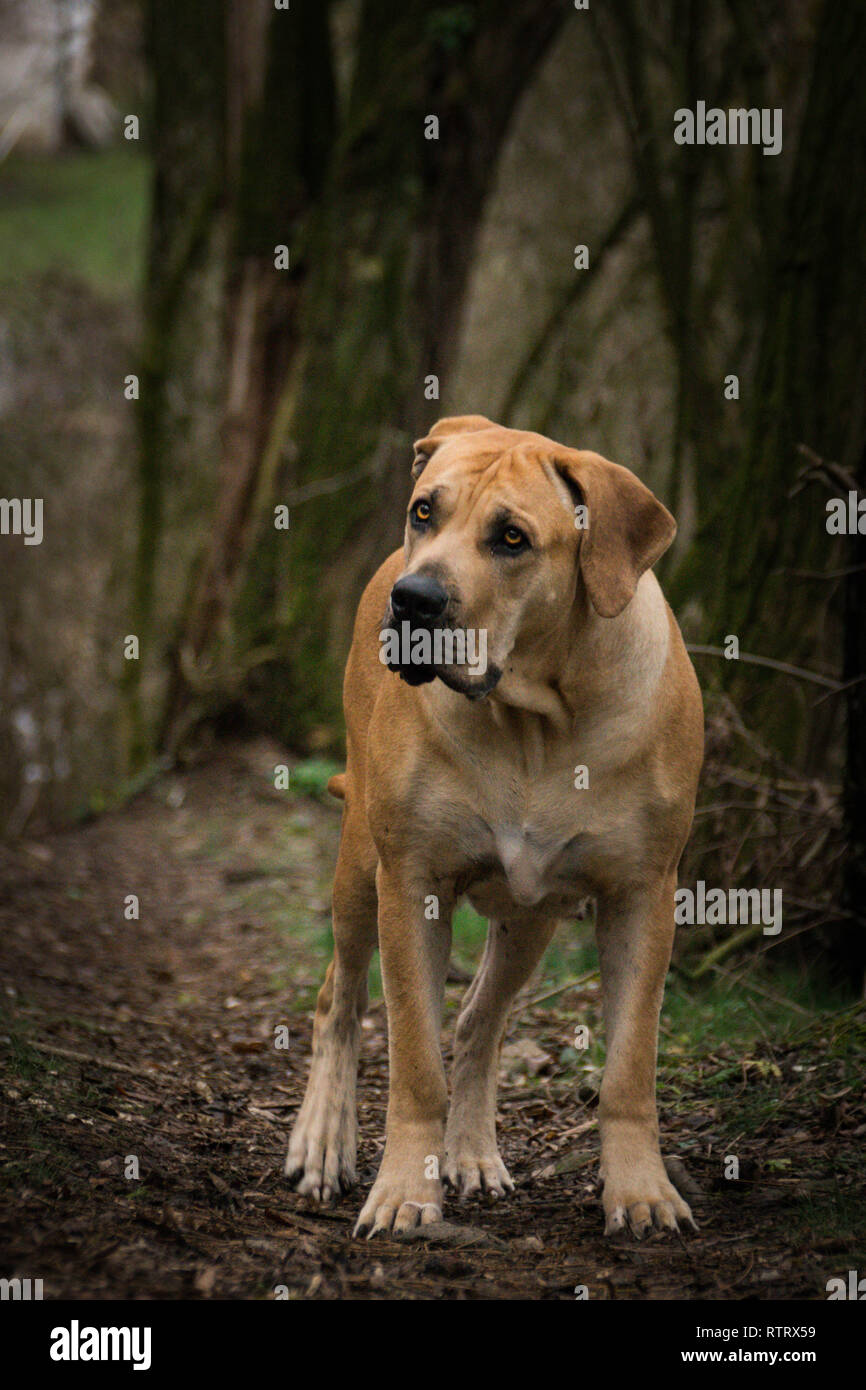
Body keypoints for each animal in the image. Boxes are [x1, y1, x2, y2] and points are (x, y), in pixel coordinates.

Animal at [287, 411, 708, 1239]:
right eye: (425, 511)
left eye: (512, 538)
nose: (413, 598)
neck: (536, 720)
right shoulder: (410, 882)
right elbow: (414, 1063)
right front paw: (403, 1192)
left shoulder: (642, 894)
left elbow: (629, 1069)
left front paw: (641, 1191)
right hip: (359, 866)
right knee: (337, 1001)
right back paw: (323, 1139)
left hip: (529, 918)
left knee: (479, 1022)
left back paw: (474, 1153)